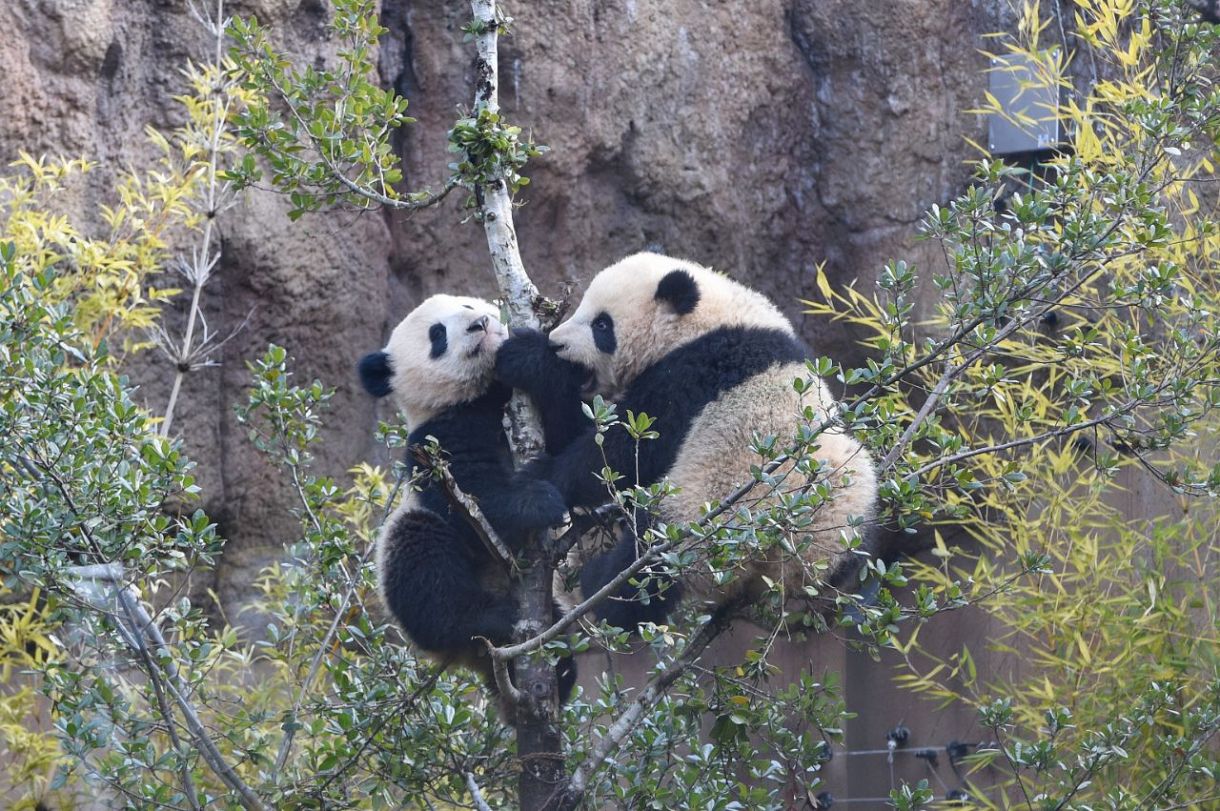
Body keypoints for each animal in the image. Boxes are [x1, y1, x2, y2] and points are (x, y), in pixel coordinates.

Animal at [356, 293, 575, 697]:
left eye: (468, 306)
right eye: (437, 335)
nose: (480, 324)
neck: (481, 395)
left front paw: (529, 359)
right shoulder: (436, 438)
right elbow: (473, 498)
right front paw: (539, 501)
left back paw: (560, 664)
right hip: (413, 563)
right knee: (424, 573)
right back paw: (489, 618)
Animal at [495, 251, 878, 624]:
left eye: (601, 324)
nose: (558, 344)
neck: (706, 321)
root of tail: (793, 560)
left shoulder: (697, 371)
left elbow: (621, 451)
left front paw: (532, 361)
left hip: (705, 521)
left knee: (650, 565)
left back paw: (600, 586)